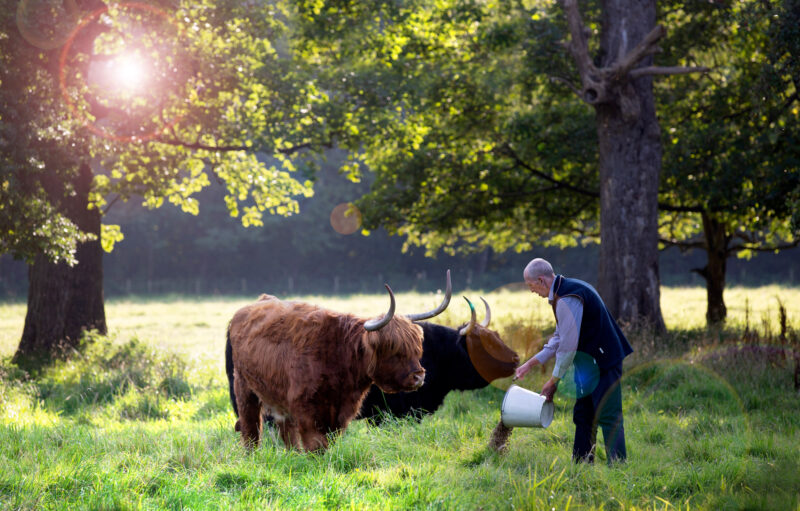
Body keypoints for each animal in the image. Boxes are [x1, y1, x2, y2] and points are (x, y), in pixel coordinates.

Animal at [225, 274, 452, 452]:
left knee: (285, 431)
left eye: (417, 348)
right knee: (251, 427)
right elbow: (316, 445)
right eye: (394, 350)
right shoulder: (306, 409)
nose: (419, 376)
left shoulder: (342, 412)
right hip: (244, 388)